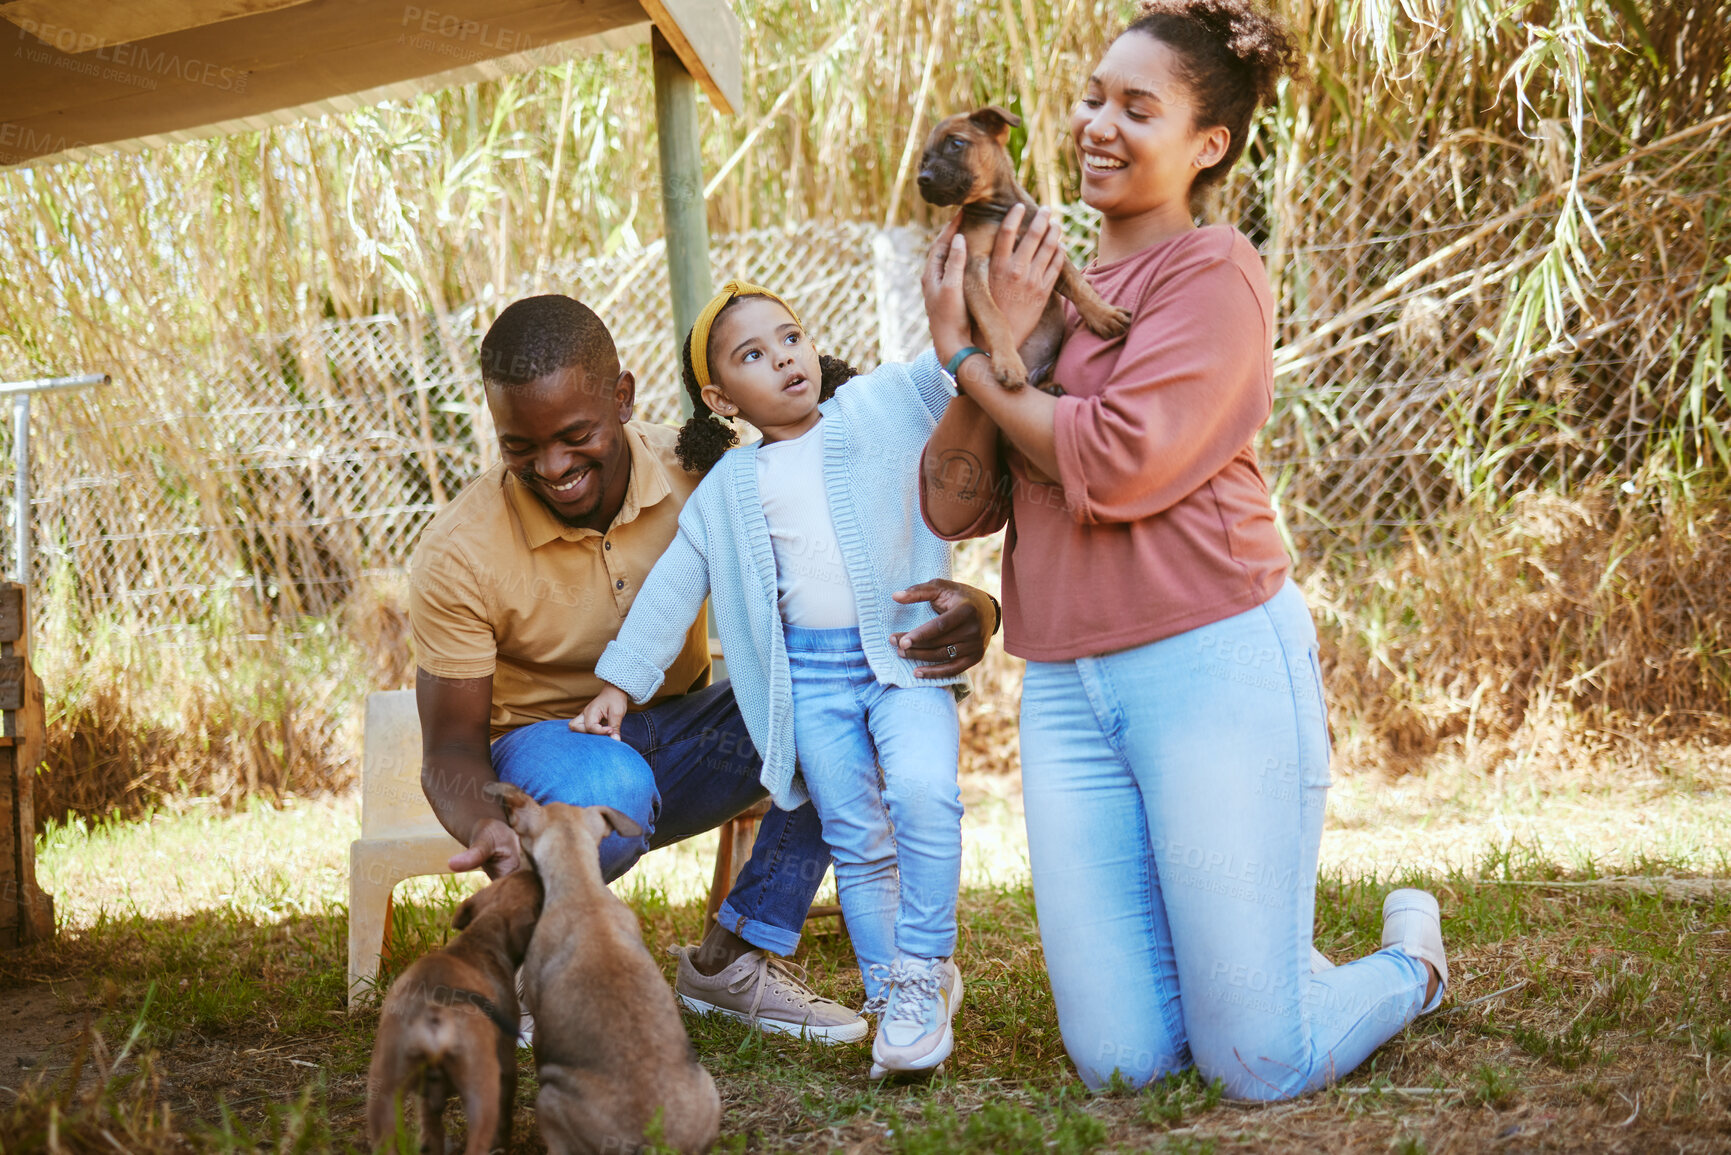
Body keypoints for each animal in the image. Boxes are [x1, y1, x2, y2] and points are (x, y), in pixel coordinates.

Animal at [913, 105, 1128, 393]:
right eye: (924, 161)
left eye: (956, 143)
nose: (922, 179)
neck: (1000, 210)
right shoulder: (973, 268)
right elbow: (995, 318)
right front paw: (1009, 364)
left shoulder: (1054, 256)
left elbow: (1080, 287)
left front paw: (1104, 315)